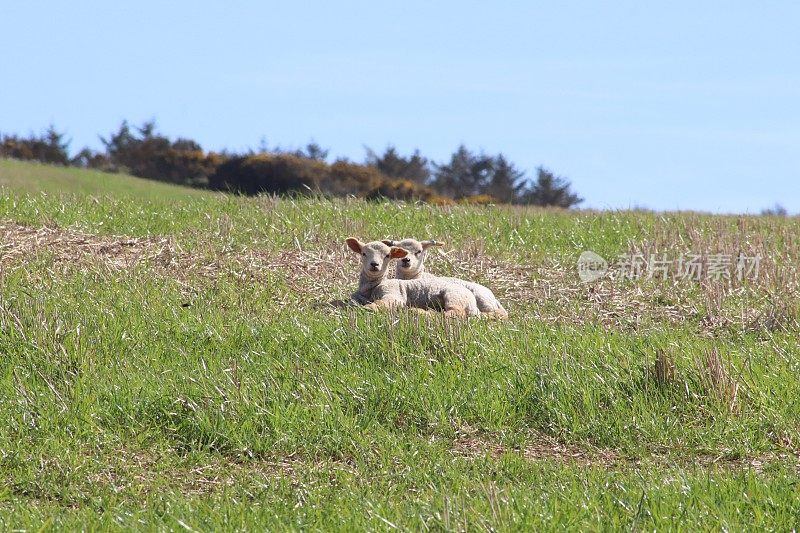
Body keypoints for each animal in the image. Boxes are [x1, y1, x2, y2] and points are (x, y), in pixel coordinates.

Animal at [342, 237, 476, 316]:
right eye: (363, 254)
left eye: (387, 255)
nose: (374, 264)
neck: (373, 287)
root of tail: (474, 307)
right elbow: (350, 301)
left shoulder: (393, 294)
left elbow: (383, 302)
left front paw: (369, 308)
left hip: (455, 297)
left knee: (452, 313)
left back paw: (418, 312)